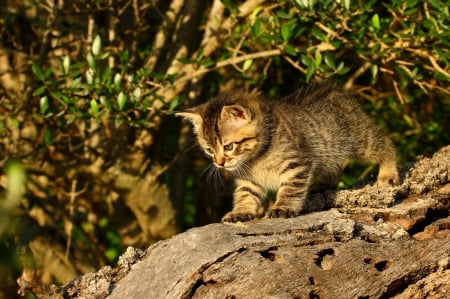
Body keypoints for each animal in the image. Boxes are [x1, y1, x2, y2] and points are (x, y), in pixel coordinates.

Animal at [178, 83, 400, 224]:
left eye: (228, 147)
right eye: (209, 150)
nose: (219, 163)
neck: (257, 157)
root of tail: (337, 90)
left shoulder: (297, 163)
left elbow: (290, 189)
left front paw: (282, 208)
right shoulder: (249, 179)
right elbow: (245, 194)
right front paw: (240, 212)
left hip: (360, 139)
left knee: (384, 139)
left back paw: (388, 174)